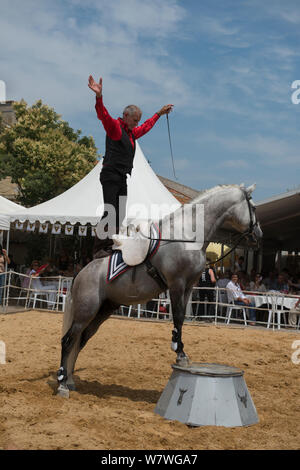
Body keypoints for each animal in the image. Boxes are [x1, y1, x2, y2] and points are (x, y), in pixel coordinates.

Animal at [56, 184, 262, 396]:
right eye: (254, 208)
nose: (258, 234)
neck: (185, 236)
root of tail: (81, 273)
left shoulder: (188, 287)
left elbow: (181, 318)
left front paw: (181, 350)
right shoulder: (177, 284)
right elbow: (177, 316)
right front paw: (180, 354)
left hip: (102, 311)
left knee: (80, 340)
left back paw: (70, 379)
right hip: (86, 312)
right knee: (68, 341)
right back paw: (62, 383)